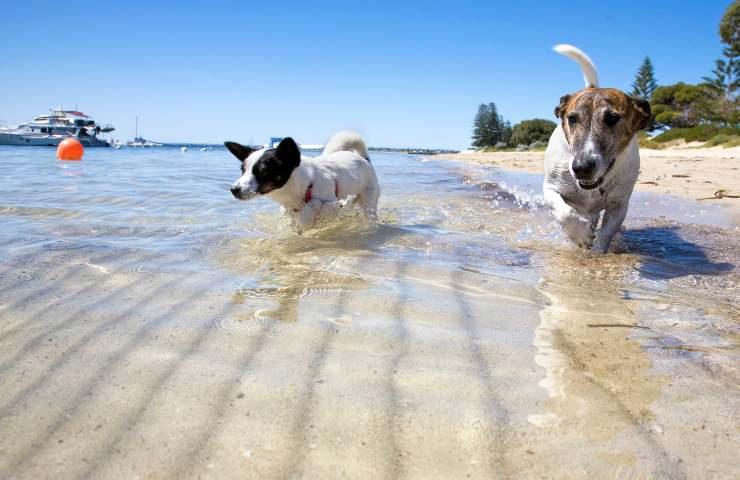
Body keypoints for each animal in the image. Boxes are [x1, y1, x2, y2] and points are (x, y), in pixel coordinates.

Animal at [540, 44, 652, 253]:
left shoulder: (619, 204)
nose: (581, 167)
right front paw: (580, 235)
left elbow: (606, 234)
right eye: (572, 119)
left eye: (612, 118)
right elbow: (563, 211)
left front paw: (597, 253)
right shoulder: (551, 188)